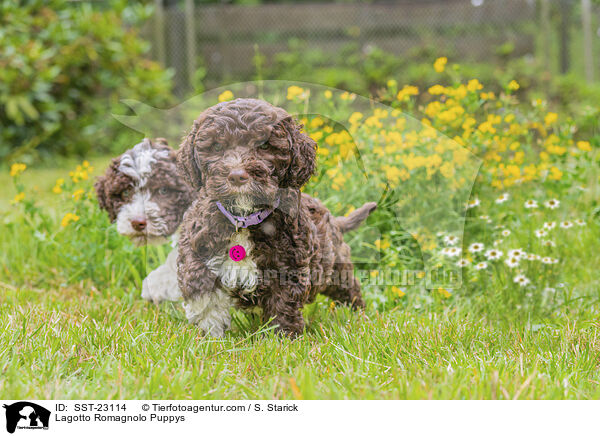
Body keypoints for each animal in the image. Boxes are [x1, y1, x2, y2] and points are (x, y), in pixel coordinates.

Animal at [177, 99, 376, 338]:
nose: (237, 176)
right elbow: (203, 294)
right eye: (217, 147)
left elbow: (282, 305)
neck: (244, 220)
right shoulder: (196, 250)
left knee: (349, 289)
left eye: (264, 146)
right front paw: (210, 337)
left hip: (336, 266)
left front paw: (282, 338)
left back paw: (359, 317)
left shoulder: (288, 267)